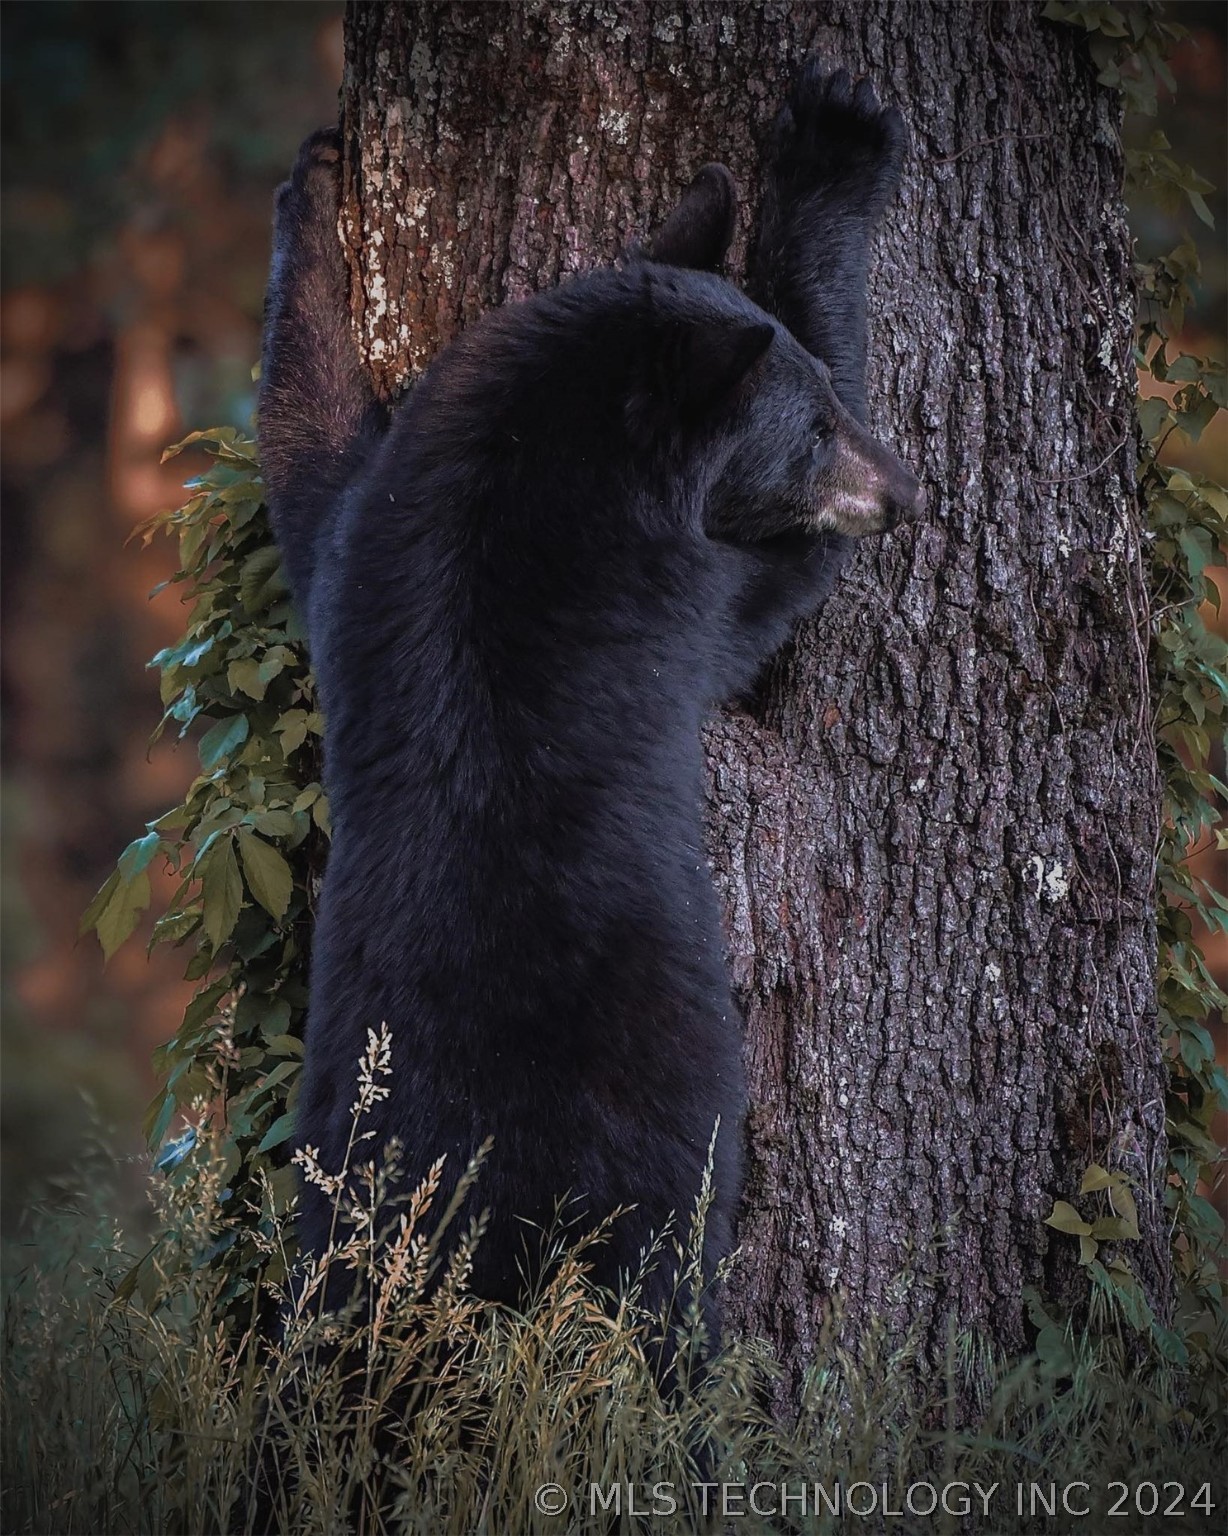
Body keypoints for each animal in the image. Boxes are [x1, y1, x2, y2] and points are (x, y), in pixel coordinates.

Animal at [259, 62, 916, 1345]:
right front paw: (834, 143)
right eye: (816, 426)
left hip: (337, 1203)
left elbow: (305, 441)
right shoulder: (677, 579)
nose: (902, 489)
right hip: (654, 1181)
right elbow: (775, 593)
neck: (540, 441)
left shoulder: (370, 531)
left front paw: (308, 184)